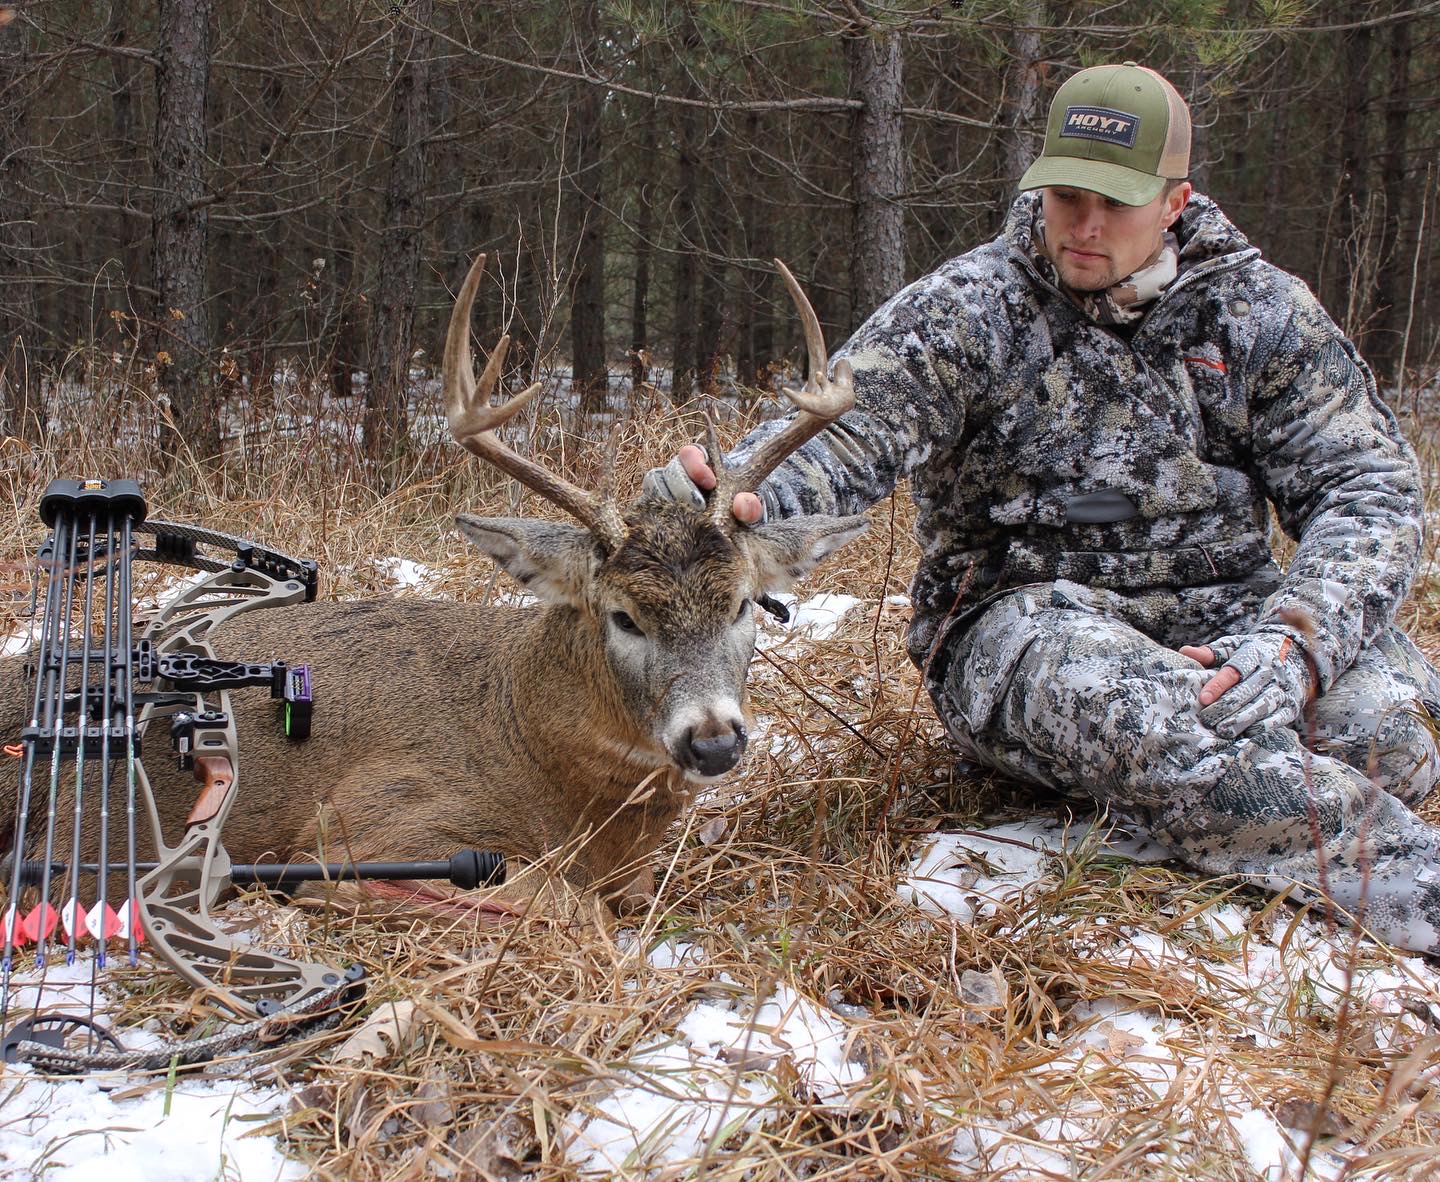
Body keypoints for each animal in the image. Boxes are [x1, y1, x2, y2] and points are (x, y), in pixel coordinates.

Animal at [0, 256, 864, 904]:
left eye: (743, 603)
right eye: (623, 617)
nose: (714, 740)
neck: (528, 736)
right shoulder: (369, 828)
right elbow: (561, 902)